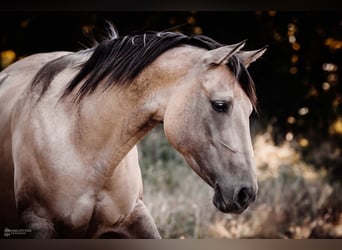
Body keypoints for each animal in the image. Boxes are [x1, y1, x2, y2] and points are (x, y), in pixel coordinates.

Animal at [0, 24, 268, 238]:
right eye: (220, 105)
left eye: (248, 110)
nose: (246, 194)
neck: (80, 141)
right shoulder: (38, 221)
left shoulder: (136, 215)